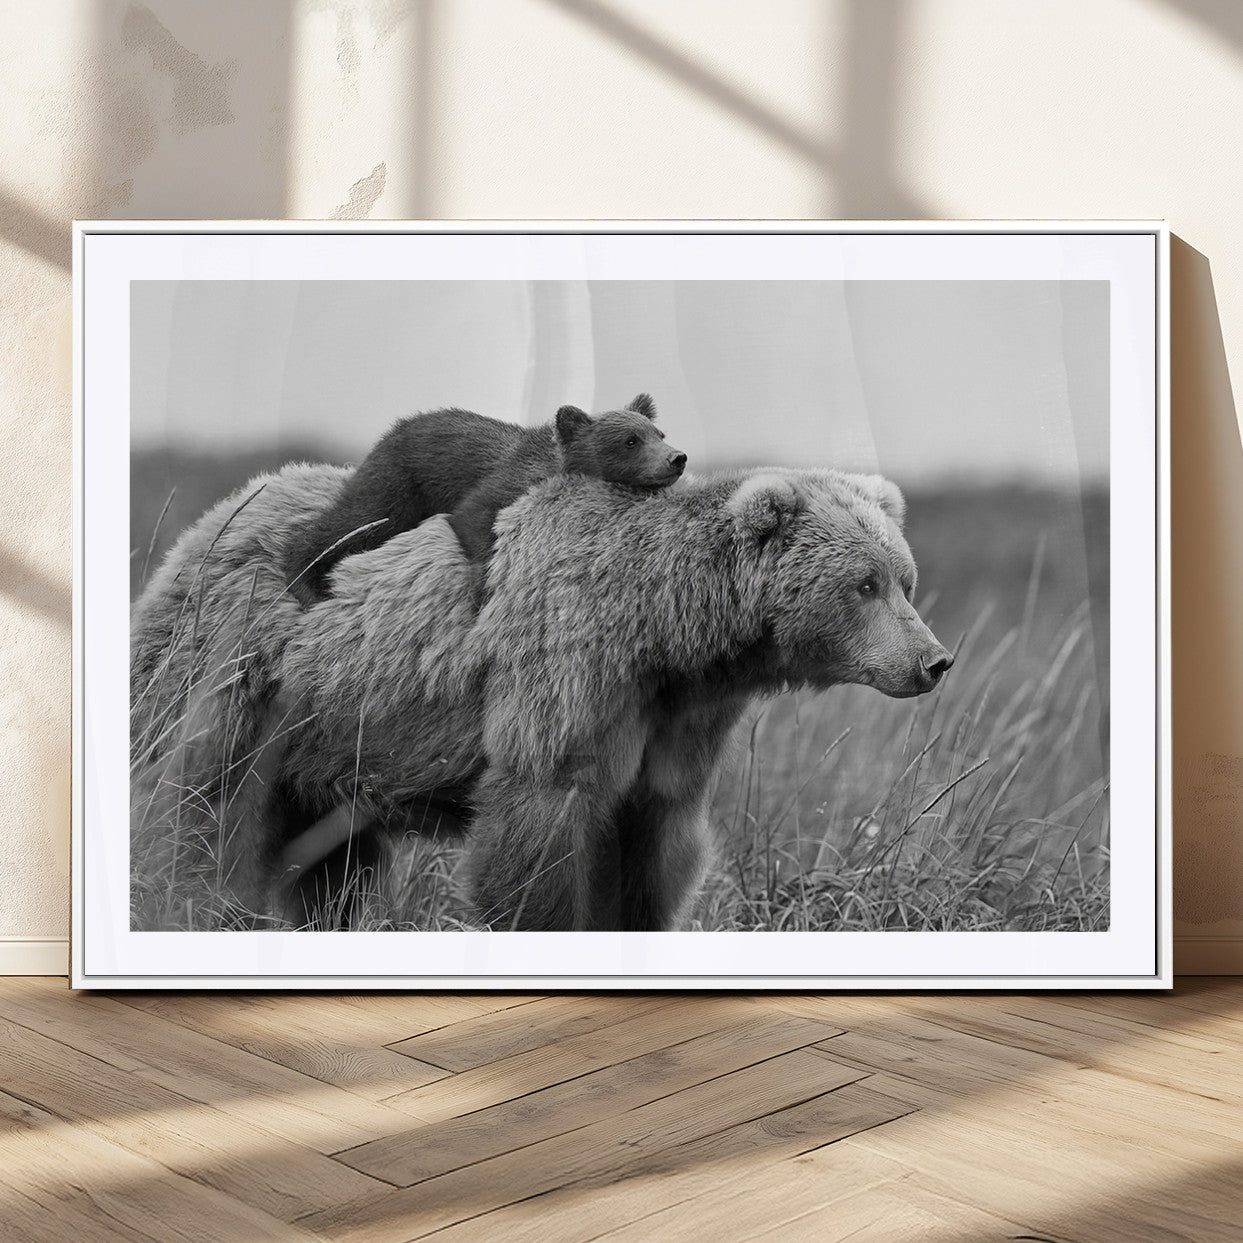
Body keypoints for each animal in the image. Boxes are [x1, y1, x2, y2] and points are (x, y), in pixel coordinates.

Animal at [130, 459, 952, 932]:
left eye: (904, 579)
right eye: (865, 584)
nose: (933, 659)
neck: (669, 632)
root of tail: (216, 515)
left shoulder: (677, 719)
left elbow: (655, 843)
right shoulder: (569, 672)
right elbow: (542, 821)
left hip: (332, 736)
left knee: (332, 861)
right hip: (241, 675)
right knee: (200, 808)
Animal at [283, 394, 686, 606]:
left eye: (659, 433)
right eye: (630, 440)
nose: (676, 458)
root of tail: (394, 428)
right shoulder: (505, 481)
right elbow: (474, 515)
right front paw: (483, 587)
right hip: (398, 482)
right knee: (355, 521)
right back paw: (305, 581)